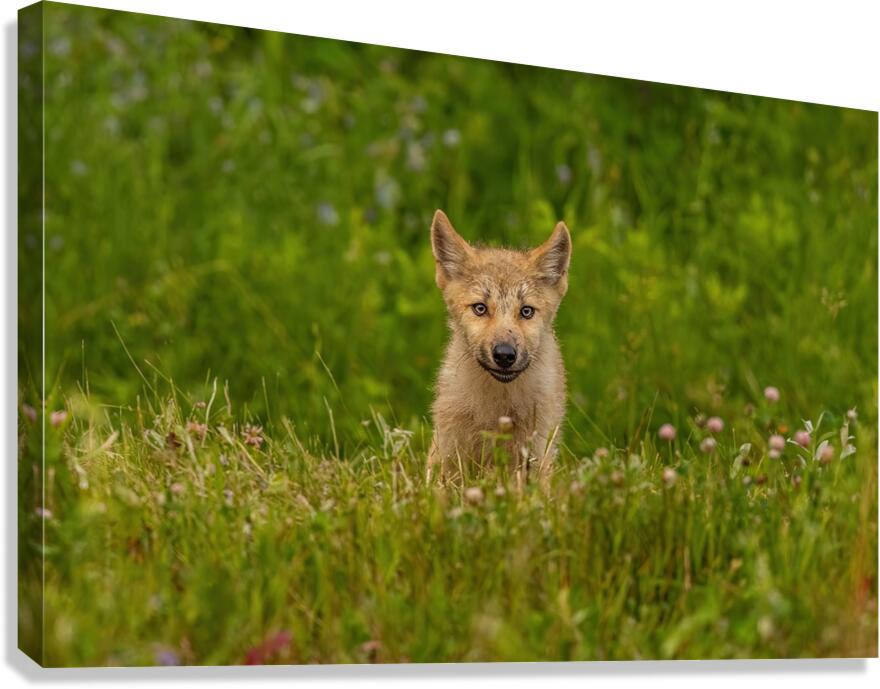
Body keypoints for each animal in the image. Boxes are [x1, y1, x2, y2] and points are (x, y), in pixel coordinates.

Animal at [427, 209, 571, 483]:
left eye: (526, 311)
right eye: (480, 308)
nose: (505, 355)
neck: (498, 409)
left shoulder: (536, 454)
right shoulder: (448, 452)